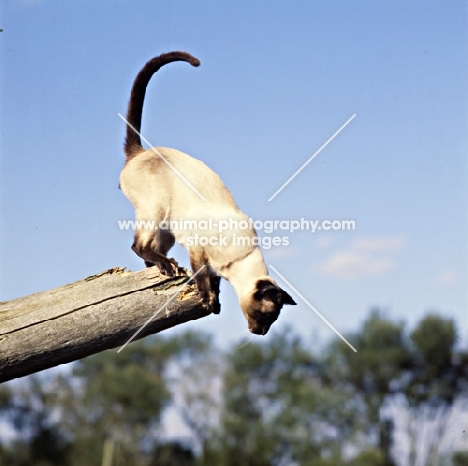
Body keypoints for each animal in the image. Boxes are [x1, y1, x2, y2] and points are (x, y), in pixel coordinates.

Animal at [120, 51, 296, 334]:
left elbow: (214, 281)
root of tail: (141, 152)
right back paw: (166, 265)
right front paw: (207, 299)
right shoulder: (197, 249)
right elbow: (202, 276)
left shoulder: (207, 259)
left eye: (272, 320)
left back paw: (159, 264)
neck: (237, 261)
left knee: (152, 248)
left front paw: (216, 301)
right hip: (156, 210)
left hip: (168, 229)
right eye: (266, 316)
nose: (260, 332)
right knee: (139, 245)